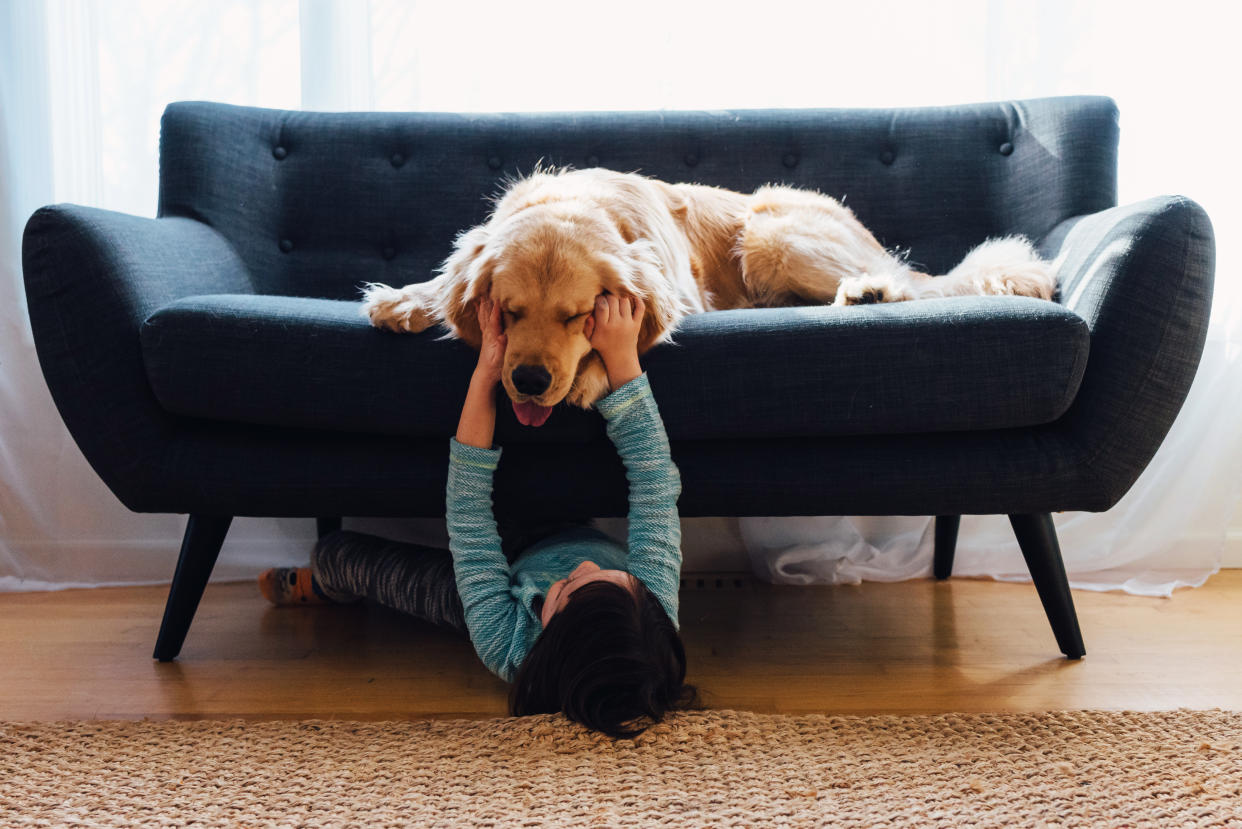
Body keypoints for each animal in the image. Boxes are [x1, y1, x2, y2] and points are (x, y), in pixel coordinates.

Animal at [362, 166, 1053, 425]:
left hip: (772, 235)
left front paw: (593, 374)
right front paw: (404, 299)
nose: (529, 381)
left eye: (580, 317)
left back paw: (868, 292)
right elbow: (449, 274)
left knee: (908, 283)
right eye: (509, 312)